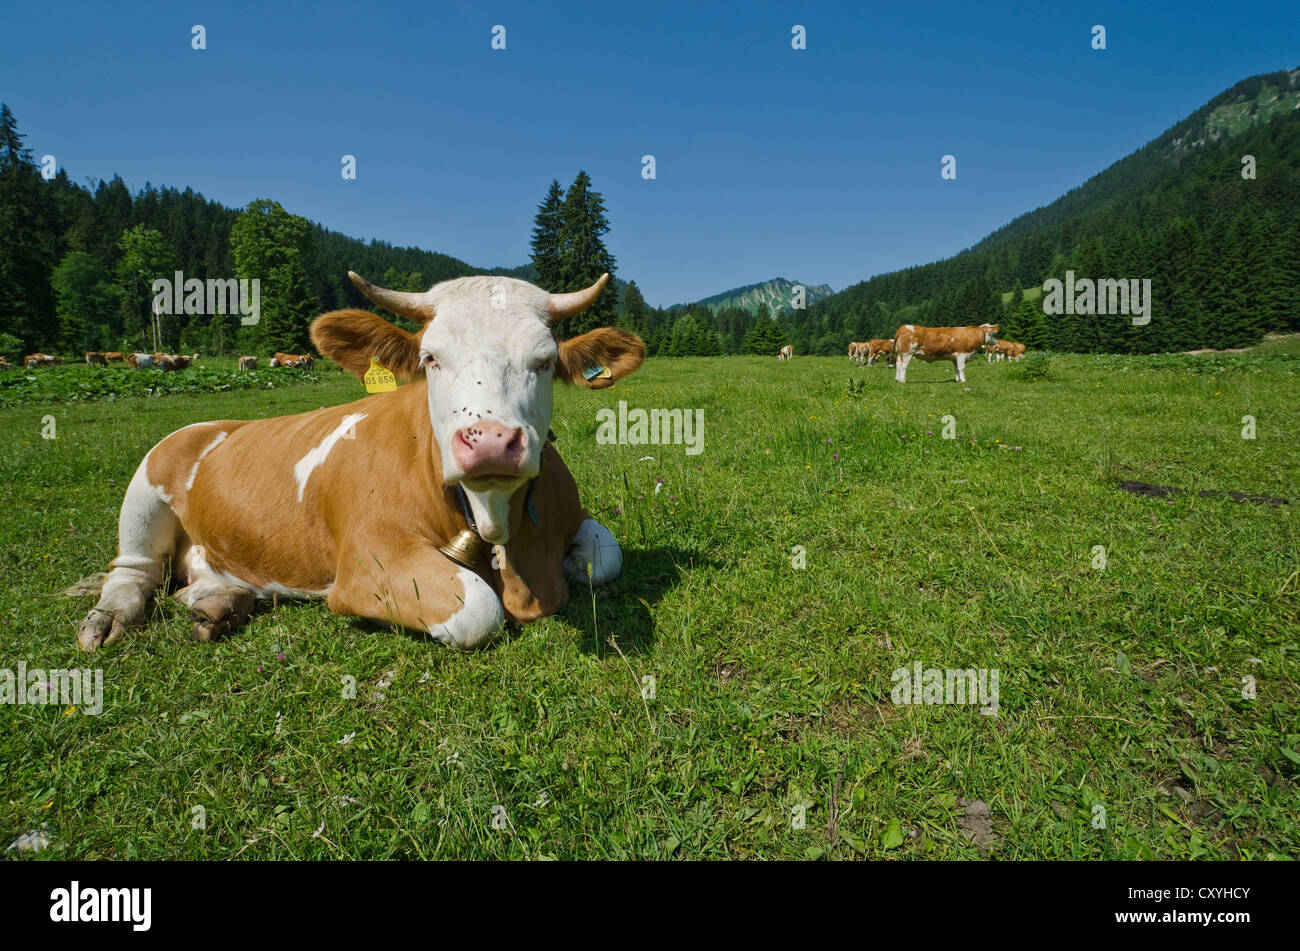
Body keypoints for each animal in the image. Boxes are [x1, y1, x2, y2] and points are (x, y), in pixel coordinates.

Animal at [74, 272, 644, 654]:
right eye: (430, 359)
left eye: (544, 361)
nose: (489, 441)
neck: (490, 514)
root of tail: (218, 423)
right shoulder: (369, 559)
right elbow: (478, 610)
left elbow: (606, 557)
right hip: (147, 482)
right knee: (134, 572)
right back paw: (108, 620)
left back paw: (220, 605)